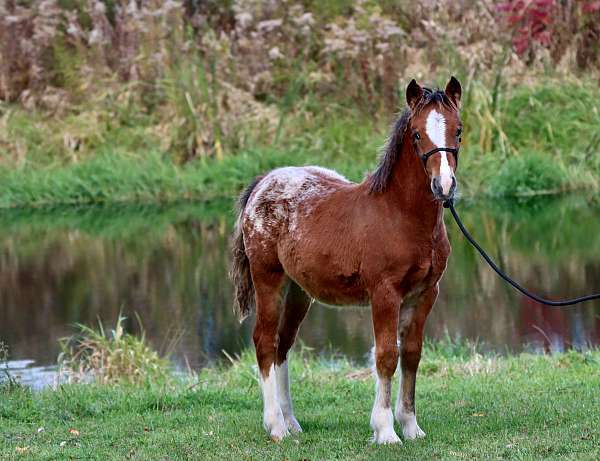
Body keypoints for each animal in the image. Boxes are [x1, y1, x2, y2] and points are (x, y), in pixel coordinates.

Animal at [232, 77, 462, 444]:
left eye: (458, 131)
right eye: (416, 134)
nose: (444, 186)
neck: (400, 216)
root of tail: (262, 183)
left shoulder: (425, 293)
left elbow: (411, 354)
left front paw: (411, 426)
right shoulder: (384, 293)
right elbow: (386, 355)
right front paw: (385, 430)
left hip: (299, 292)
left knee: (283, 345)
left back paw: (292, 422)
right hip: (268, 278)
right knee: (265, 341)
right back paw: (276, 426)